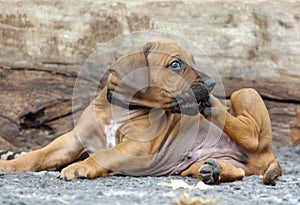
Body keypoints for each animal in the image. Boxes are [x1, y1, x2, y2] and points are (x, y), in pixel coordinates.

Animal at [0, 39, 282, 185]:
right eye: (175, 64)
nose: (212, 83)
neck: (118, 110)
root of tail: (268, 159)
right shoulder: (72, 140)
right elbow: (39, 154)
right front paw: (10, 164)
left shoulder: (138, 147)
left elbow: (104, 154)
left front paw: (80, 167)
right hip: (202, 164)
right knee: (237, 171)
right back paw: (213, 170)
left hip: (245, 93)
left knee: (249, 132)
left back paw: (210, 106)